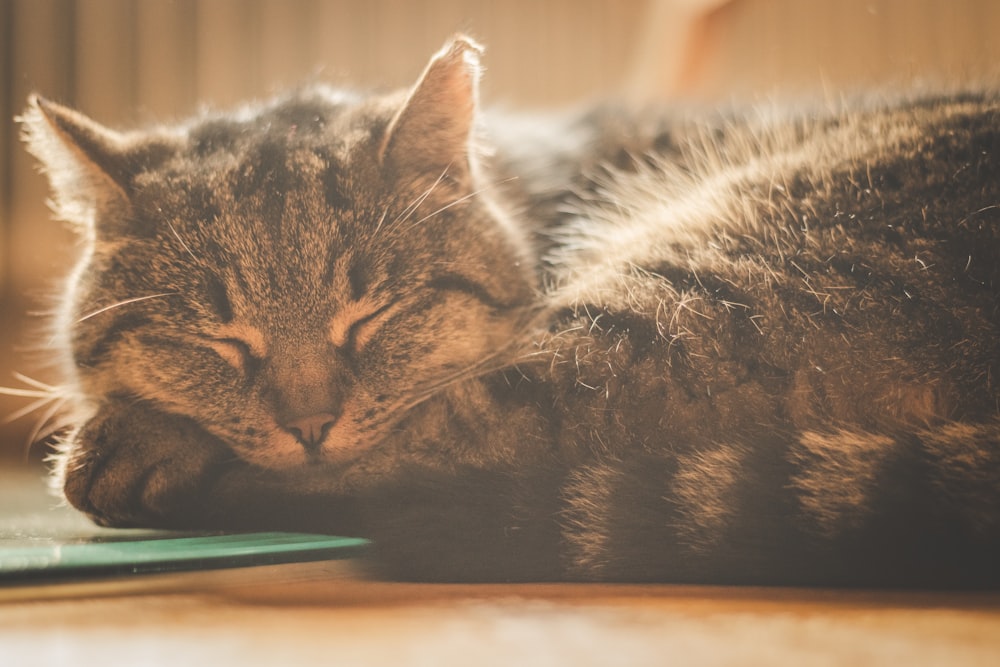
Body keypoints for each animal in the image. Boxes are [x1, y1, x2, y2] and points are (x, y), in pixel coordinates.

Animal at [15, 36, 1000, 584]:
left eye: (373, 315)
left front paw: (133, 438)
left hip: (693, 292)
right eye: (218, 339)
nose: (309, 423)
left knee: (460, 449)